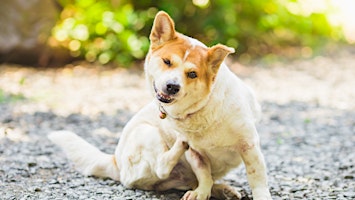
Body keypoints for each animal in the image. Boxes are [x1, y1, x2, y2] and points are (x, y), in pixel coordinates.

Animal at [48, 11, 272, 200]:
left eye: (192, 74)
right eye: (167, 61)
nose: (172, 86)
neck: (202, 110)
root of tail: (115, 162)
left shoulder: (249, 145)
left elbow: (256, 176)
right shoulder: (195, 154)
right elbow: (203, 172)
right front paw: (201, 193)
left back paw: (222, 190)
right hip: (147, 132)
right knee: (161, 167)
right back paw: (184, 150)